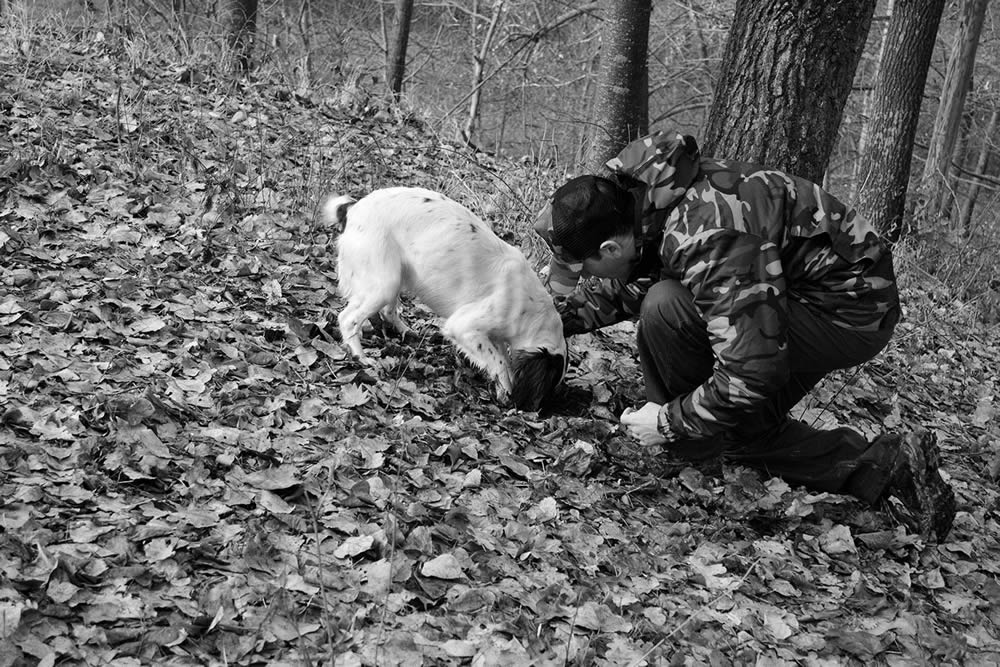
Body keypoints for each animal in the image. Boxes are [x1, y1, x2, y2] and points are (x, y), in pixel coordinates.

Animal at [326, 185, 568, 410]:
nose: (536, 410)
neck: (531, 308)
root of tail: (353, 208)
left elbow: (503, 360)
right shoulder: (464, 327)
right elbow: (499, 362)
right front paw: (507, 389)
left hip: (396, 276)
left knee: (387, 310)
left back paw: (405, 330)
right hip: (384, 284)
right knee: (348, 319)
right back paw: (360, 356)